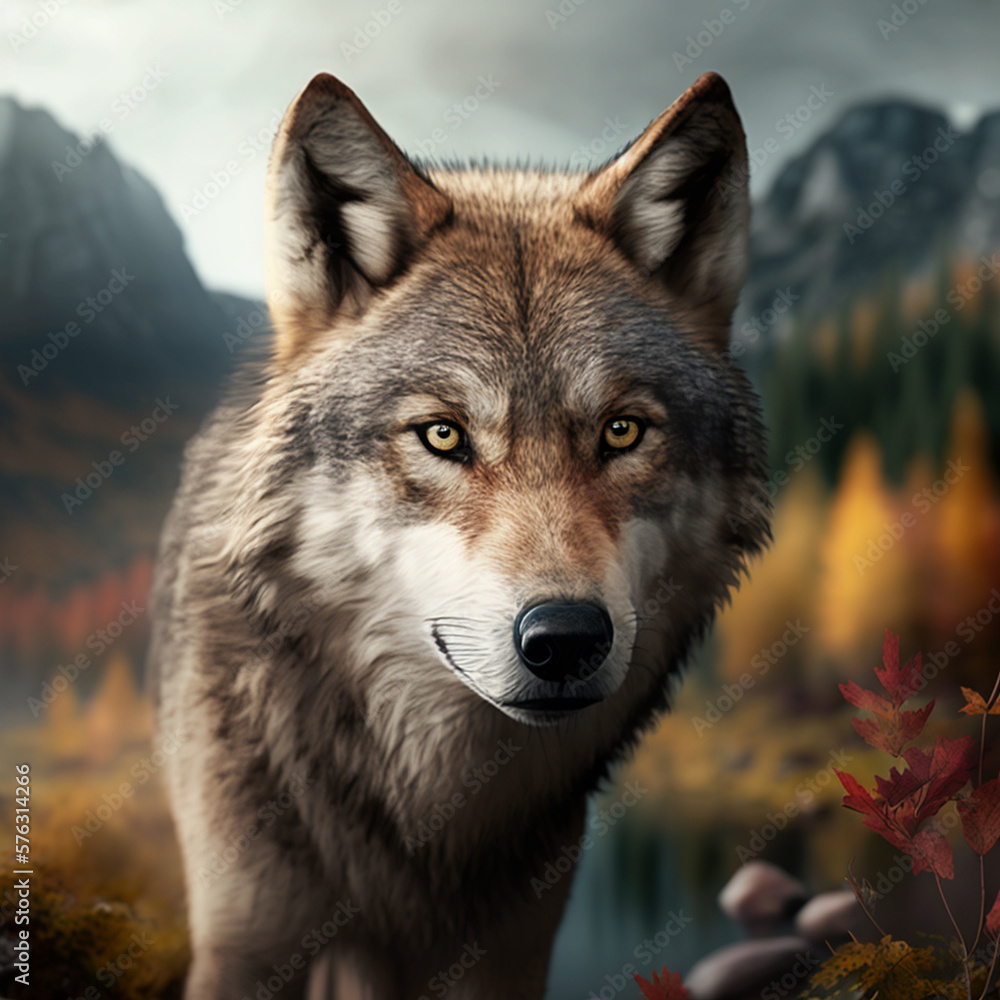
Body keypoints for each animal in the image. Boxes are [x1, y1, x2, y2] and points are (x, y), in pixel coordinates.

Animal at [149, 70, 770, 999]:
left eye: (621, 432)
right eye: (442, 435)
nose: (565, 638)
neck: (425, 817)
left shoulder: (512, 954)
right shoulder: (242, 944)